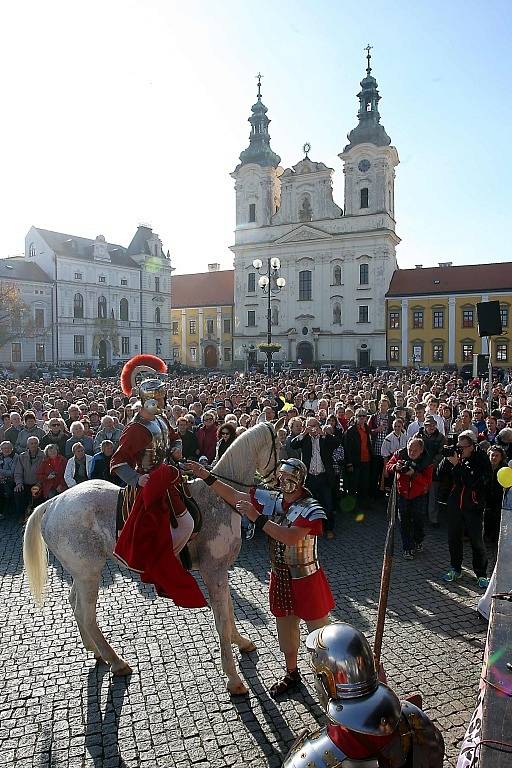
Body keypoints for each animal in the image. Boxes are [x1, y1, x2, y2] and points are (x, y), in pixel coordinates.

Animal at [23, 420, 278, 696]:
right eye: (279, 443)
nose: (281, 480)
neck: (220, 497)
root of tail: (52, 503)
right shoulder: (214, 572)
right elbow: (221, 619)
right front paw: (233, 677)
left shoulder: (222, 572)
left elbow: (229, 611)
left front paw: (241, 641)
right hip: (89, 574)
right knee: (86, 615)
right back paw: (116, 661)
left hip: (81, 574)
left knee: (74, 604)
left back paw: (95, 650)